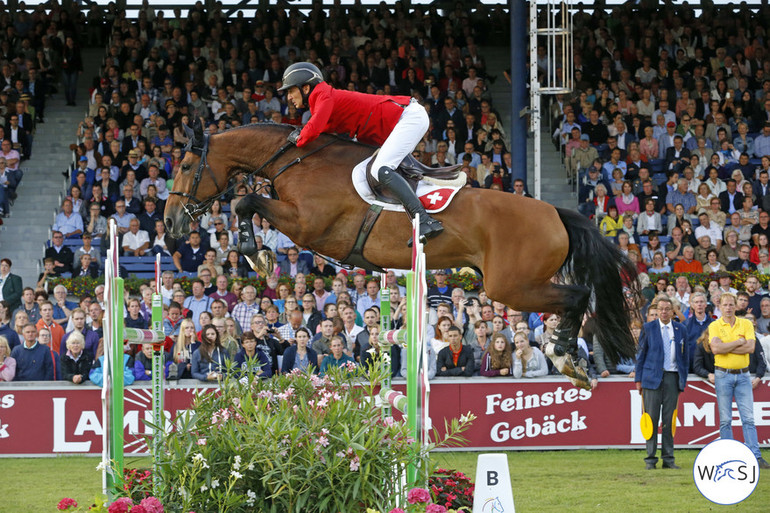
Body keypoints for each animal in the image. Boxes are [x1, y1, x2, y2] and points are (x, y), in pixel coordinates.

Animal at [164, 123, 636, 388]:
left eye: (186, 167)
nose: (170, 226)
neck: (298, 160)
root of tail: (555, 212)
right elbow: (248, 204)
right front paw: (255, 255)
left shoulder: (308, 225)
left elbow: (247, 202)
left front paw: (252, 253)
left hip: (513, 285)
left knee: (577, 297)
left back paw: (564, 356)